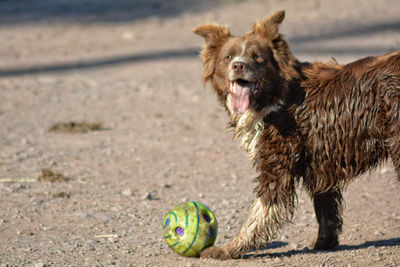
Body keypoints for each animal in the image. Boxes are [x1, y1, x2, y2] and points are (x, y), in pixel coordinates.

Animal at [194, 10, 400, 260]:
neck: (279, 96)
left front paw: (230, 249)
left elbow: (259, 213)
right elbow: (326, 209)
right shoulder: (319, 163)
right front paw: (324, 242)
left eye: (258, 57)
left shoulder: (278, 162)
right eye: (229, 56)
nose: (239, 66)